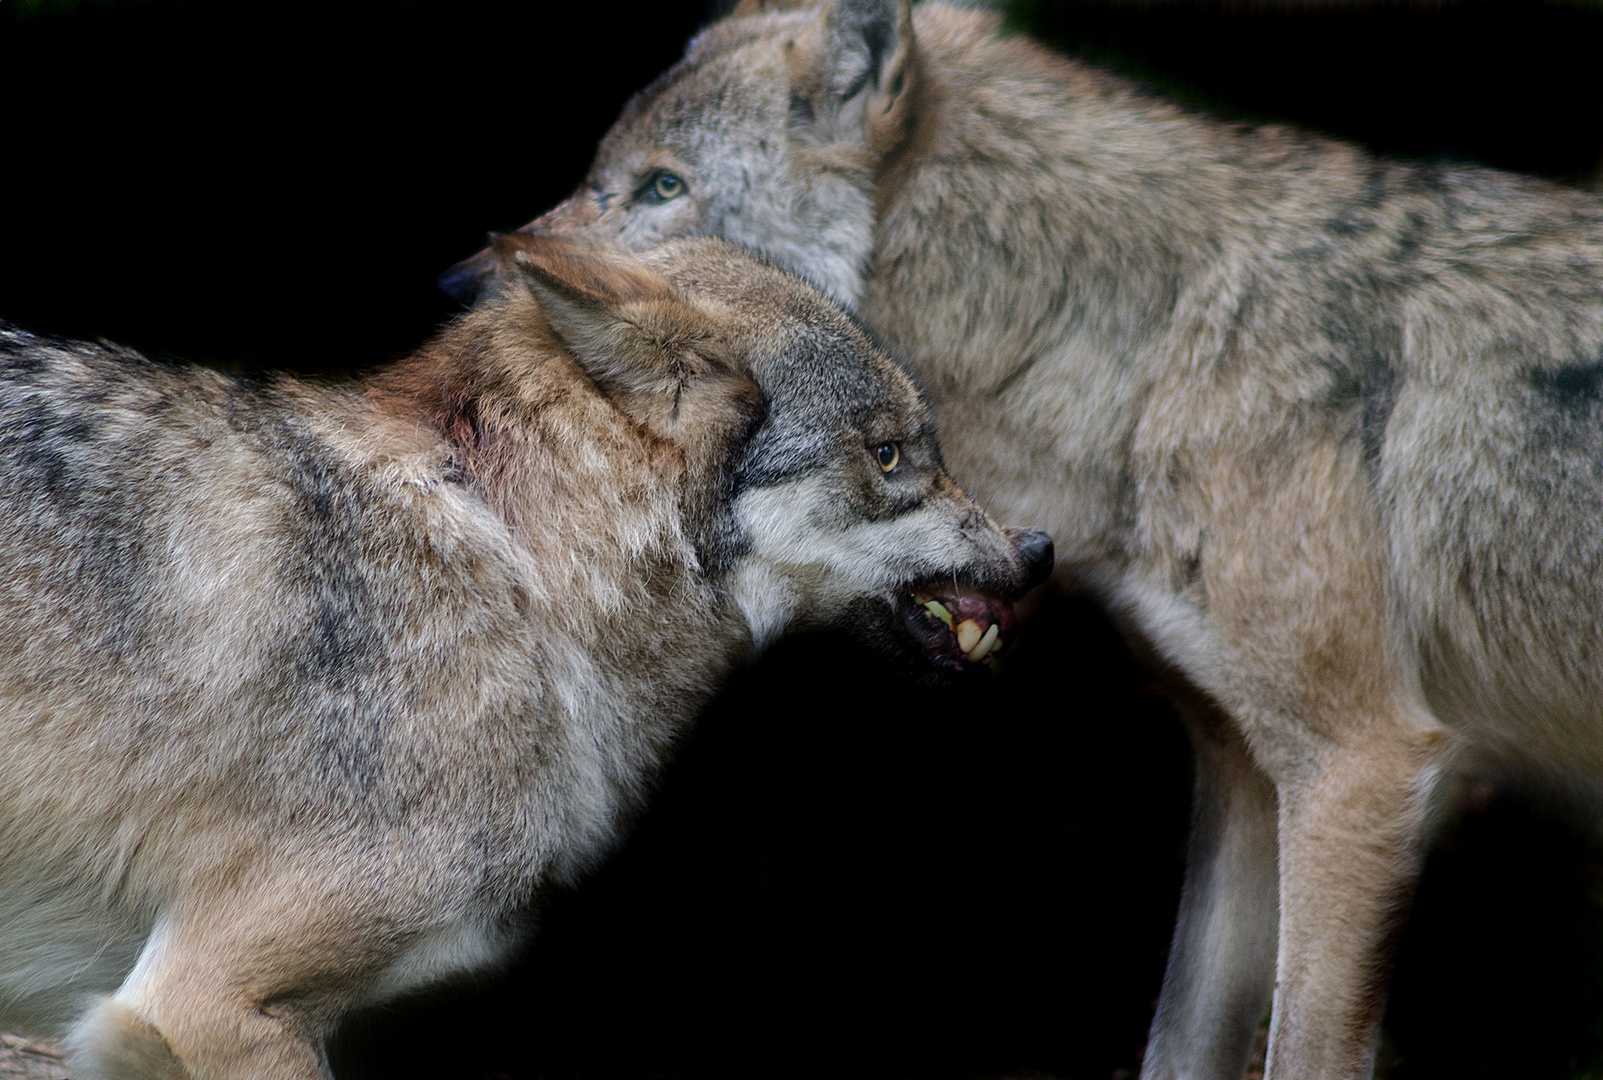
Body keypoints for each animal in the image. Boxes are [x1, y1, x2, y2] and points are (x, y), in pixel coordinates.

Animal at [439, 4, 1603, 1070]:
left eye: (662, 187)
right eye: (604, 172)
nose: (457, 287)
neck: (1159, 343)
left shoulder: (1357, 766)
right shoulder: (1241, 771)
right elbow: (1179, 1042)